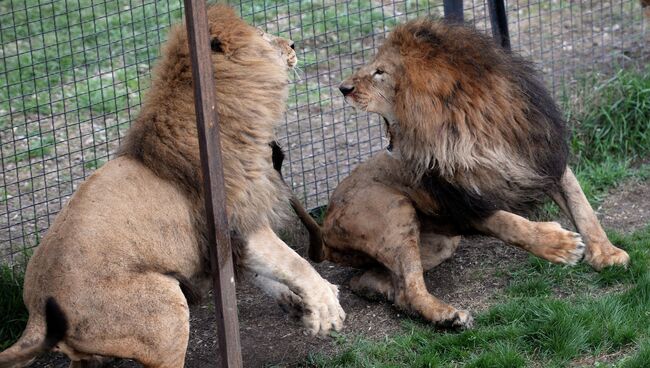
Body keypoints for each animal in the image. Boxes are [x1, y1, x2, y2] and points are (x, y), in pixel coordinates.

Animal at [0, 5, 344, 368]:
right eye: (264, 36)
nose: (292, 44)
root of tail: (36, 313)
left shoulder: (230, 240)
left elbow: (266, 272)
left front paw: (301, 302)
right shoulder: (238, 220)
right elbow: (294, 262)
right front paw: (326, 308)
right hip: (166, 311)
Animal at [308, 17, 628, 328]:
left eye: (380, 72)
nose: (343, 88)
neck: (475, 132)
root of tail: (324, 227)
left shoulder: (540, 158)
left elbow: (581, 204)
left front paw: (607, 254)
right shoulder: (461, 200)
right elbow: (509, 223)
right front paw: (559, 245)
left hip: (440, 243)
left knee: (378, 283)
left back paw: (385, 293)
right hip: (393, 212)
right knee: (411, 289)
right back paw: (448, 316)